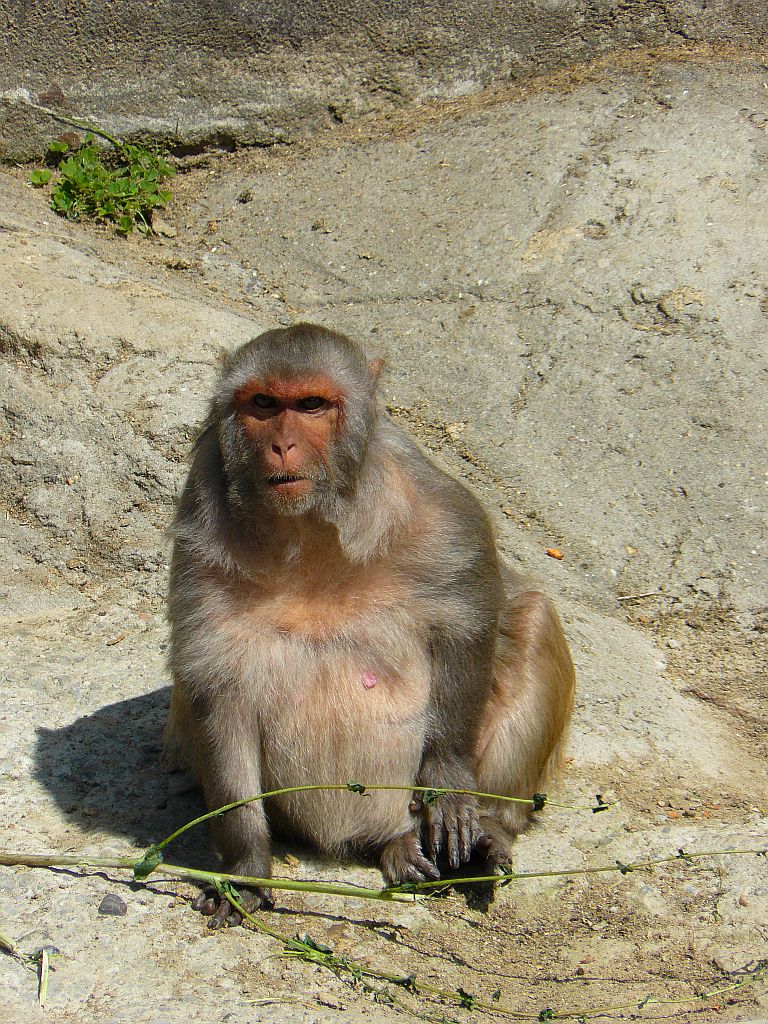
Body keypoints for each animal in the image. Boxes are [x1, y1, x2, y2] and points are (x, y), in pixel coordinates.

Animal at [166, 321, 577, 929]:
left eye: (311, 405)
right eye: (263, 404)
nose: (281, 445)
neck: (309, 529)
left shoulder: (426, 495)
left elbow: (470, 609)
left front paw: (447, 778)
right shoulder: (201, 523)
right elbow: (217, 684)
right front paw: (245, 866)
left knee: (532, 619)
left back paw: (488, 832)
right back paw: (392, 846)